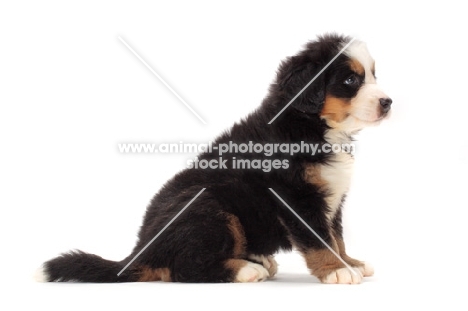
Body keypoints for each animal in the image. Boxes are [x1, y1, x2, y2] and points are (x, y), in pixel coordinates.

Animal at [35, 33, 392, 286]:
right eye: (350, 80)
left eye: (373, 75)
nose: (388, 102)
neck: (312, 126)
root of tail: (141, 251)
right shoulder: (296, 197)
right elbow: (320, 239)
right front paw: (336, 271)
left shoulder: (332, 199)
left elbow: (336, 236)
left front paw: (351, 262)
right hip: (209, 207)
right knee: (184, 268)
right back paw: (246, 269)